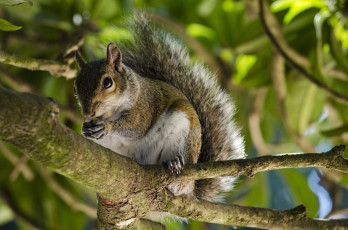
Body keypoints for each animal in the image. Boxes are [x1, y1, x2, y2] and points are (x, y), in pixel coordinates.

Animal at [73, 13, 245, 202]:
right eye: (75, 87)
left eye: (108, 82)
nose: (88, 112)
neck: (110, 111)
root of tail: (192, 189)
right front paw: (86, 129)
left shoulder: (145, 105)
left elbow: (136, 126)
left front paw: (106, 127)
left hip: (182, 135)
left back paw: (175, 165)